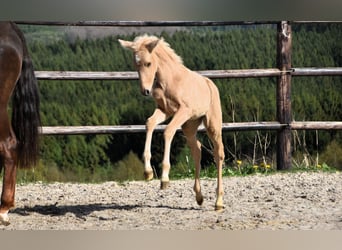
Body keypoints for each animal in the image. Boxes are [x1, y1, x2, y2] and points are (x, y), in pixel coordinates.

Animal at [119, 35, 226, 210]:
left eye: (149, 63)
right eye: (136, 64)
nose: (145, 91)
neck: (170, 80)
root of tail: (210, 84)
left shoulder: (183, 110)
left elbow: (168, 131)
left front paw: (164, 179)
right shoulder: (165, 110)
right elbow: (149, 123)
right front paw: (148, 172)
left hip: (212, 124)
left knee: (218, 154)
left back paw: (218, 202)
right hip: (190, 125)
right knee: (197, 150)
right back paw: (199, 197)